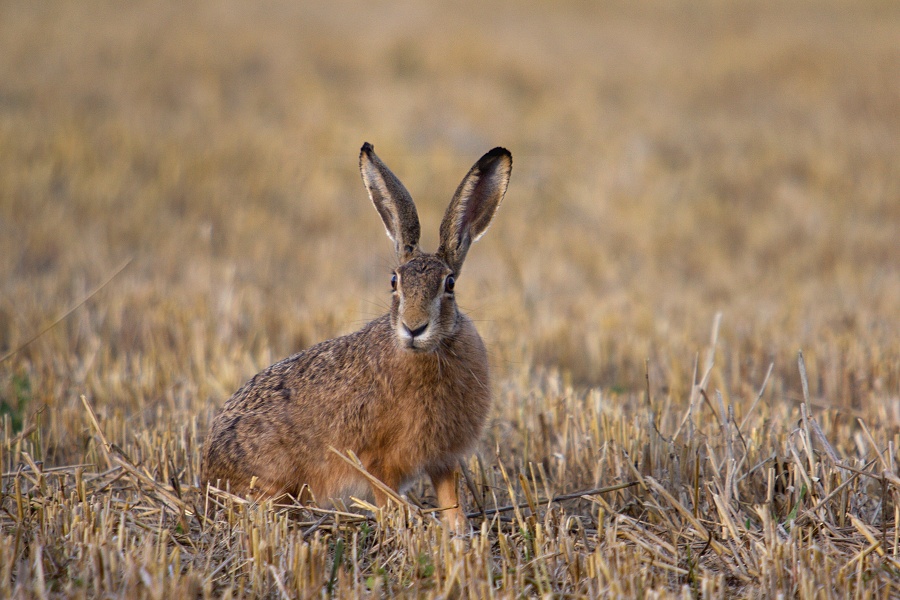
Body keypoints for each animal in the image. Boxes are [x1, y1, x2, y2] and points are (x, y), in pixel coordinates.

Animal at [201, 142, 512, 531]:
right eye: (394, 282)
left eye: (450, 284)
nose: (414, 327)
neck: (426, 353)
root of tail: (206, 474)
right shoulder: (376, 460)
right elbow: (390, 501)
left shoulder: (443, 458)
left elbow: (450, 501)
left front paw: (457, 534)